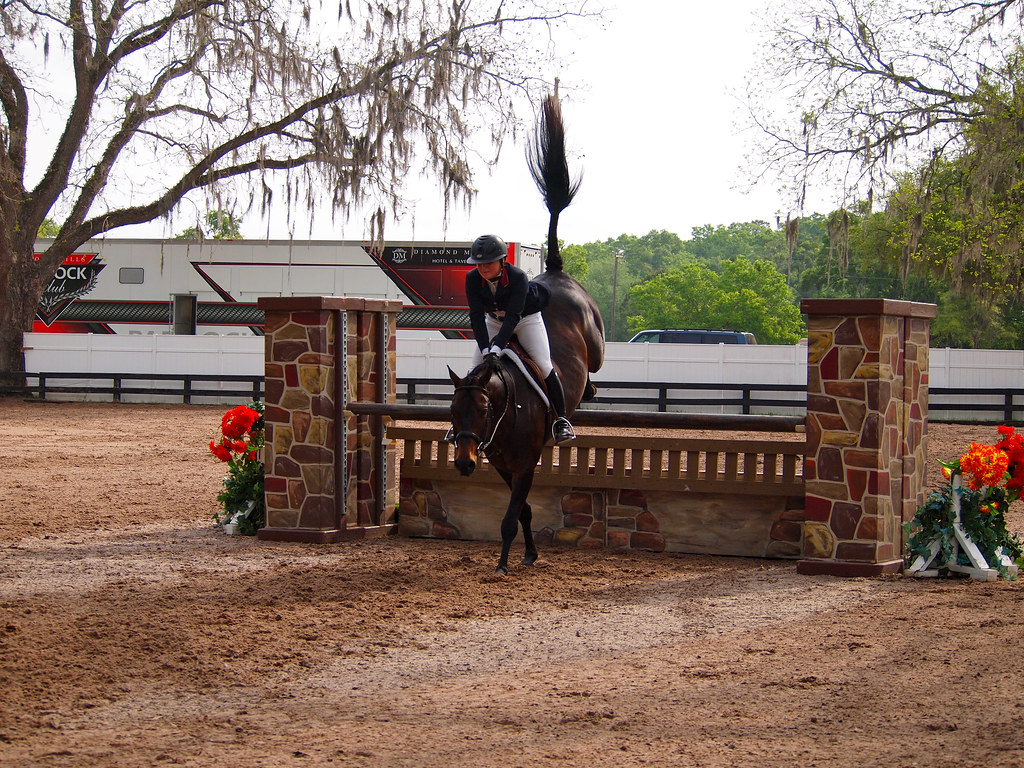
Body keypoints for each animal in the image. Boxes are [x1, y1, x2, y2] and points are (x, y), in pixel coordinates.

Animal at [448, 94, 605, 575]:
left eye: (482, 411)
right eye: (452, 411)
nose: (464, 463)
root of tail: (552, 270)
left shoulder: (527, 463)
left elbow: (510, 515)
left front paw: (502, 564)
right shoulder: (502, 463)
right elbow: (525, 512)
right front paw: (530, 553)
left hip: (592, 336)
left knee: (593, 367)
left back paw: (588, 393)